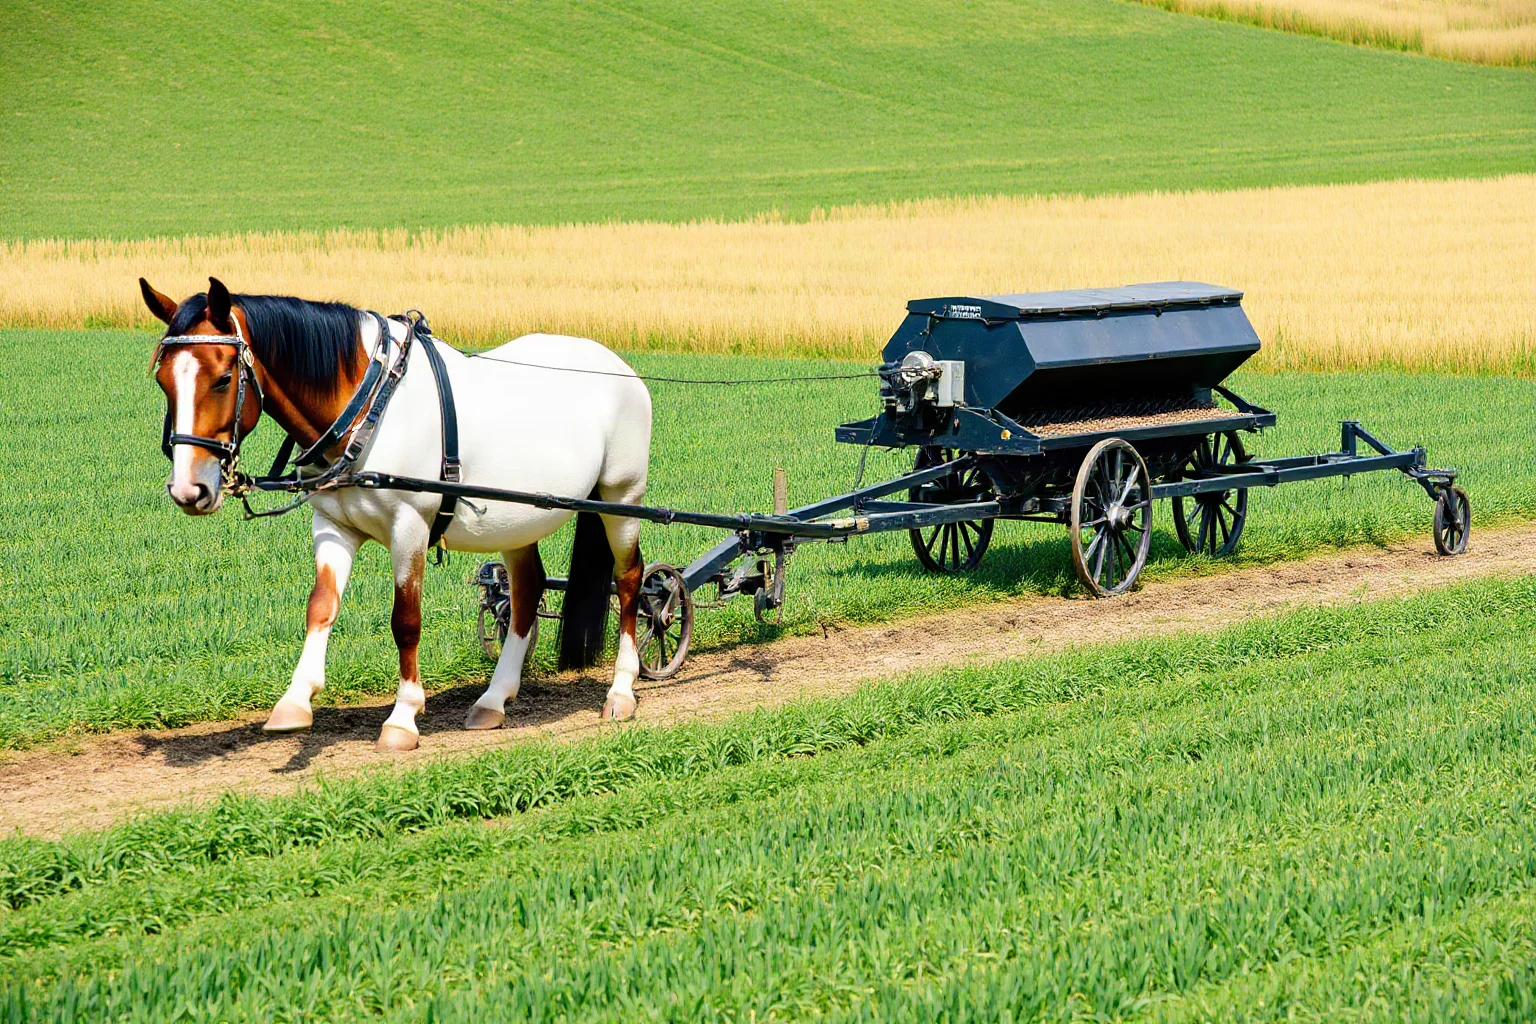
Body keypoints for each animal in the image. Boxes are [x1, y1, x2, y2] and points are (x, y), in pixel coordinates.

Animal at [142, 277, 653, 751]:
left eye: (223, 378)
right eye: (162, 379)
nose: (188, 489)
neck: (368, 404)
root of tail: (619, 366)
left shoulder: (410, 526)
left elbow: (405, 620)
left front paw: (403, 716)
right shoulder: (333, 526)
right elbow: (321, 606)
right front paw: (294, 701)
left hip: (622, 497)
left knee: (631, 579)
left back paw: (621, 690)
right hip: (519, 519)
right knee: (527, 590)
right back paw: (494, 699)